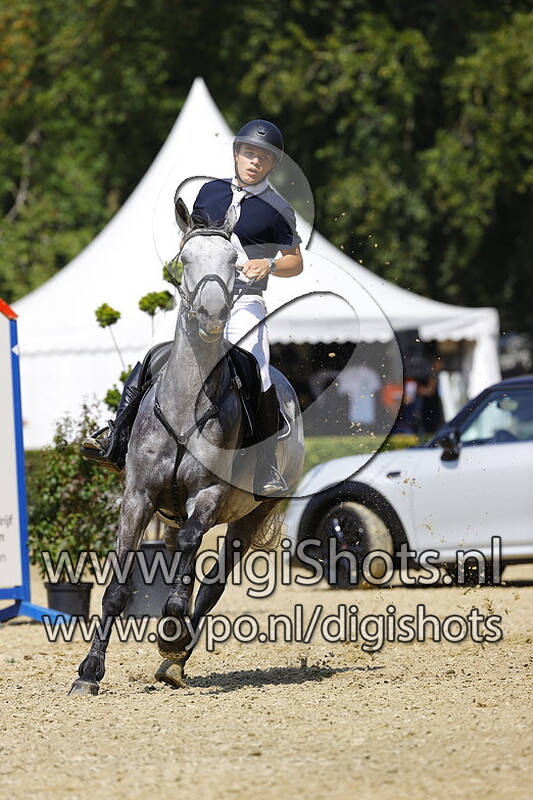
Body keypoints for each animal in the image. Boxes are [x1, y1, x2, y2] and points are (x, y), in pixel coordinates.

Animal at [69, 199, 304, 695]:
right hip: (171, 513)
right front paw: (89, 673)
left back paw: (175, 656)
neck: (186, 403)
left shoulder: (209, 495)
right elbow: (117, 588)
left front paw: (170, 633)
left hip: (251, 515)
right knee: (182, 559)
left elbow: (194, 558)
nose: (212, 314)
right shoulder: (138, 496)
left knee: (211, 581)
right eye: (185, 259)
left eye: (235, 260)